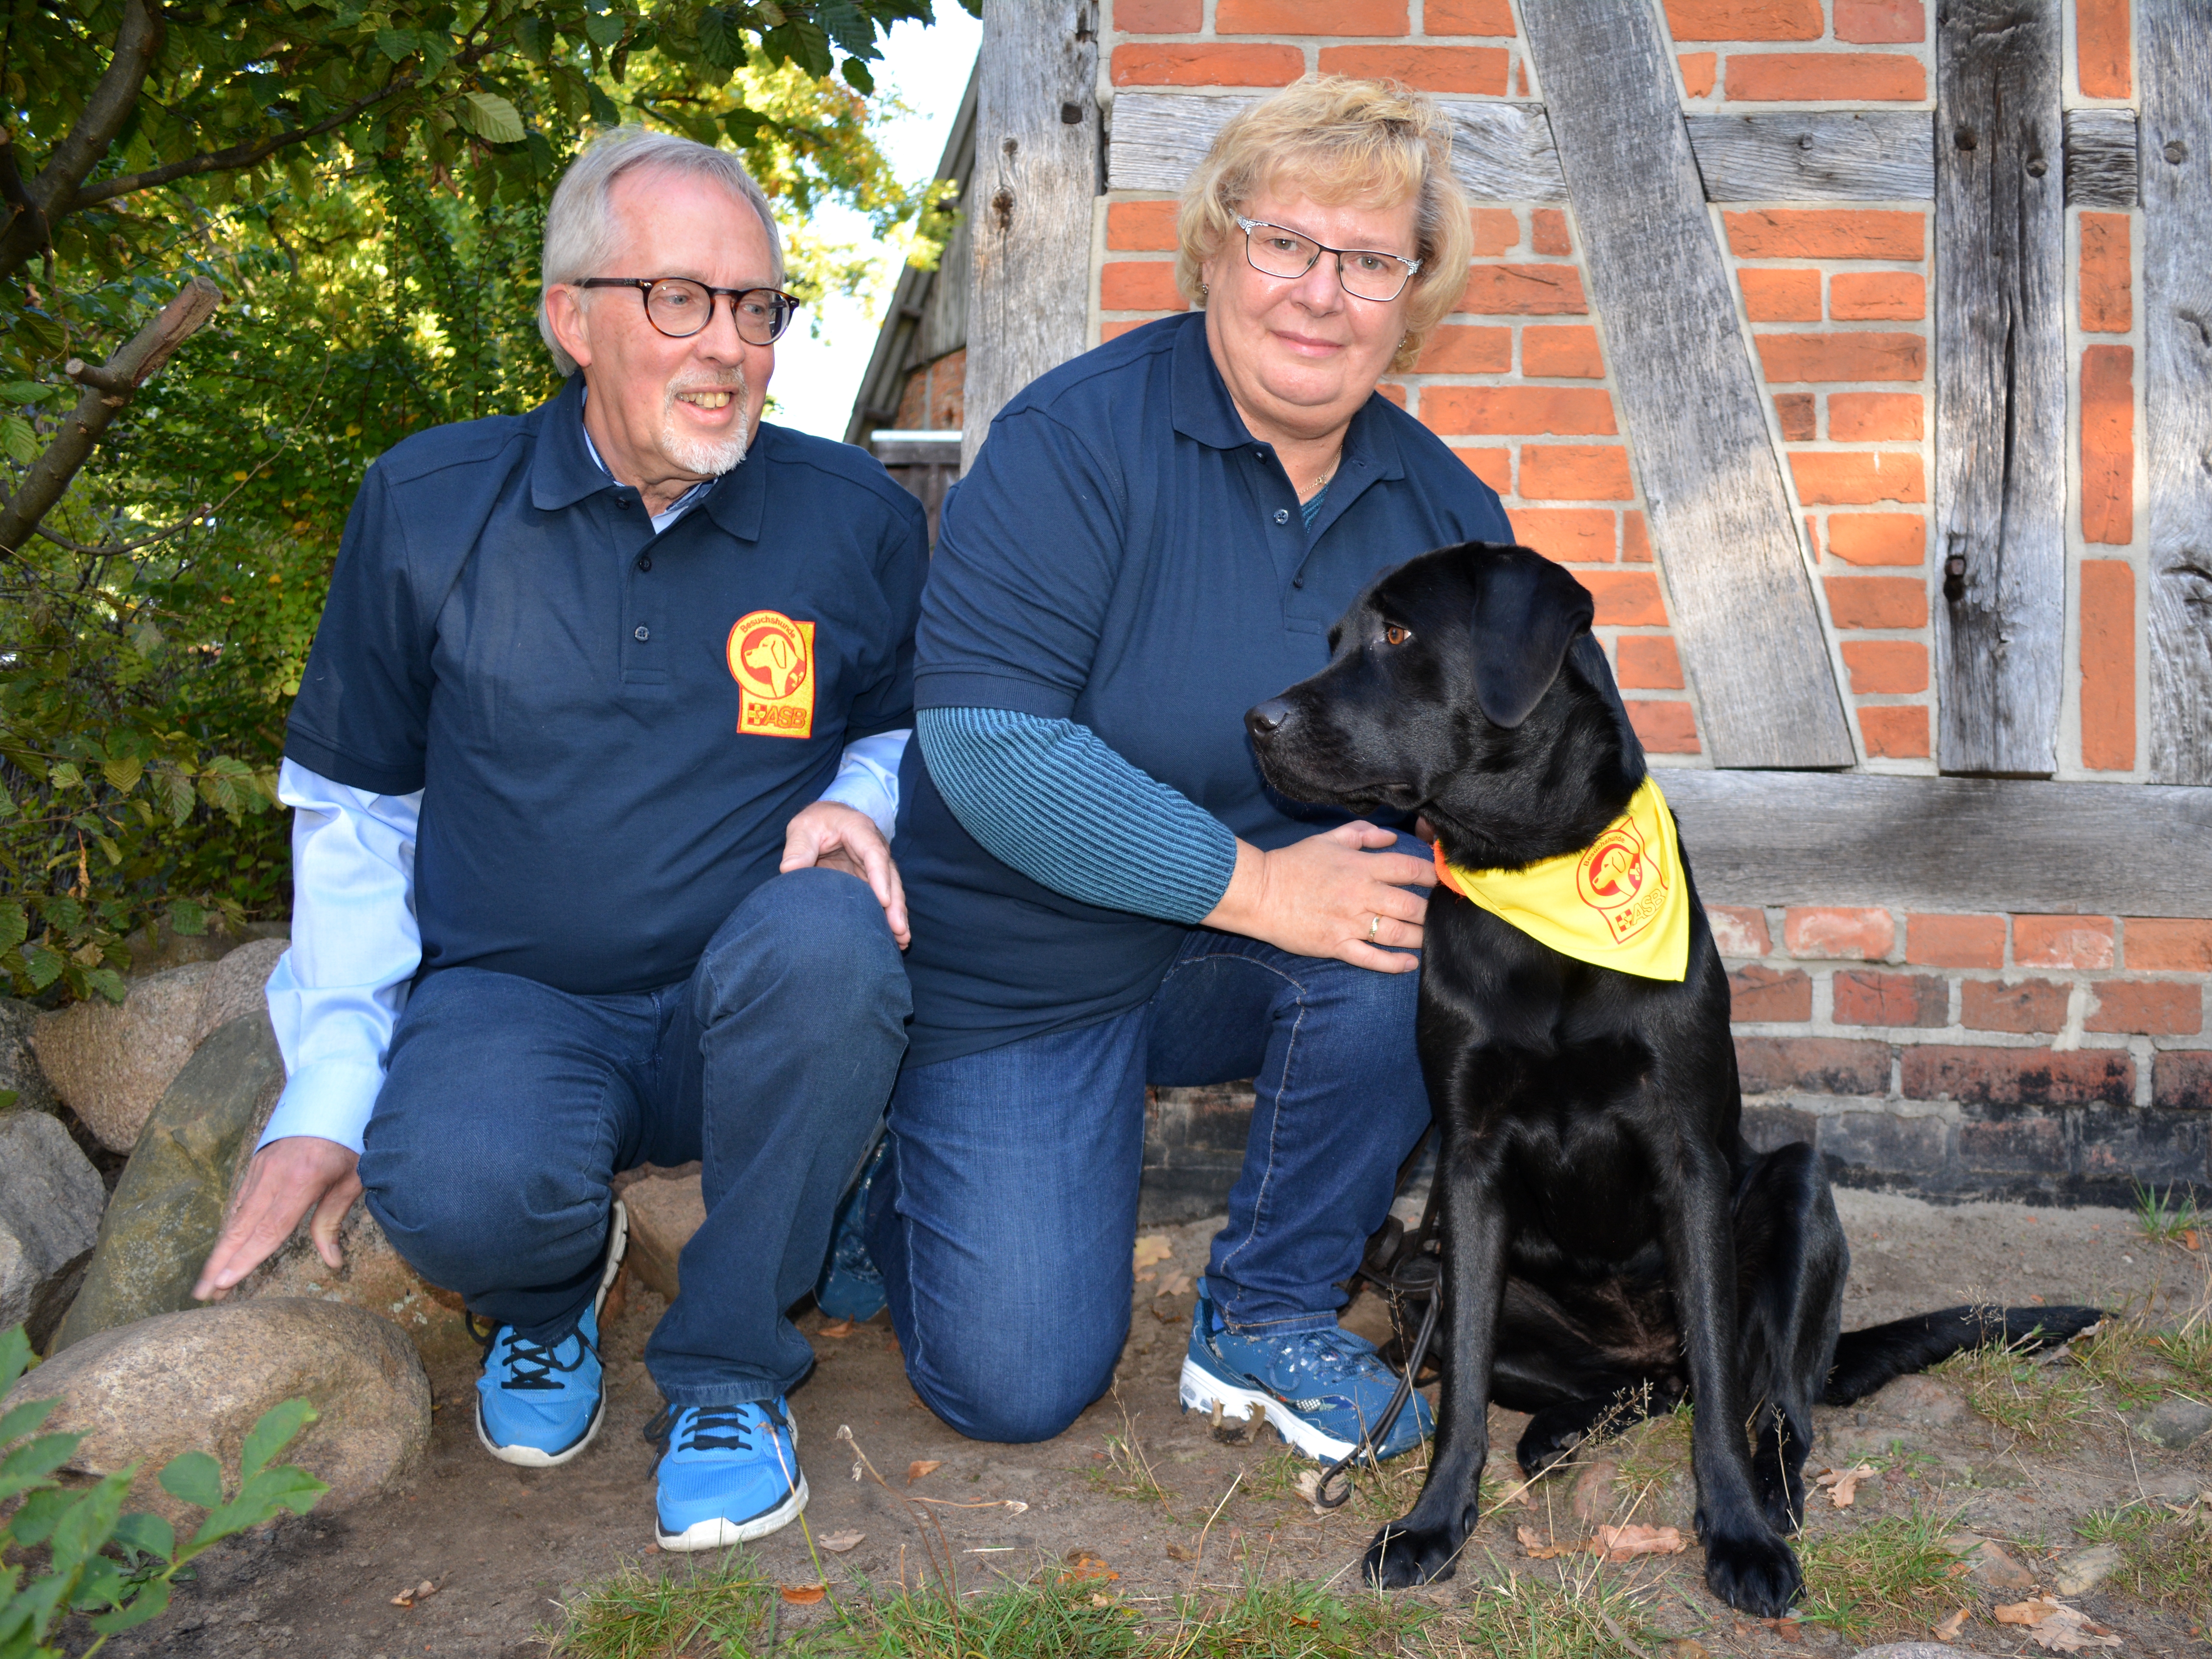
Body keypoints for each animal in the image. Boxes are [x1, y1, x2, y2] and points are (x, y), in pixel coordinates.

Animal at [1256, 548, 2097, 1628]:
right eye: (1334, 640)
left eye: (1398, 635)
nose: (1257, 720)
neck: (1534, 875)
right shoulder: (1469, 1167)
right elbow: (1462, 1391)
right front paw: (1433, 1525)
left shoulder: (1688, 1157)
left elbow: (1721, 1391)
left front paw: (1735, 1532)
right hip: (1416, 1271)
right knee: (1636, 1384)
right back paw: (1562, 1427)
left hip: (1796, 1193)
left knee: (1767, 1397)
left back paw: (1769, 1491)